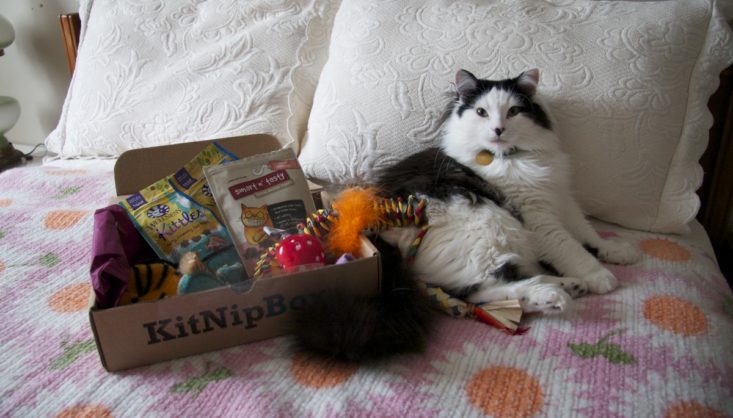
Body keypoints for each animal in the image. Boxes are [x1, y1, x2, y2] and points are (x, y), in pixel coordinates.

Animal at [298, 69, 640, 362]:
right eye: (481, 112)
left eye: (513, 111)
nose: (498, 129)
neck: (512, 157)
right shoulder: (536, 214)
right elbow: (570, 247)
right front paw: (599, 276)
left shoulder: (561, 198)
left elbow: (587, 234)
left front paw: (616, 251)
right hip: (486, 222)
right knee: (485, 291)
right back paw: (553, 295)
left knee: (493, 290)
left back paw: (567, 286)